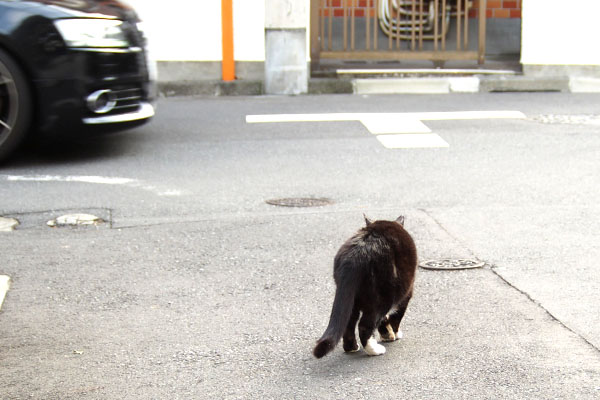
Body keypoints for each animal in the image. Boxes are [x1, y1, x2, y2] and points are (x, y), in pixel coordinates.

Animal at [314, 217, 418, 358]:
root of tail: (355, 256)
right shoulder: (407, 293)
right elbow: (396, 316)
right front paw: (395, 334)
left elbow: (384, 320)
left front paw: (387, 334)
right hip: (383, 296)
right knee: (365, 324)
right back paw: (374, 350)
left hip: (351, 298)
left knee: (349, 321)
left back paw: (351, 348)